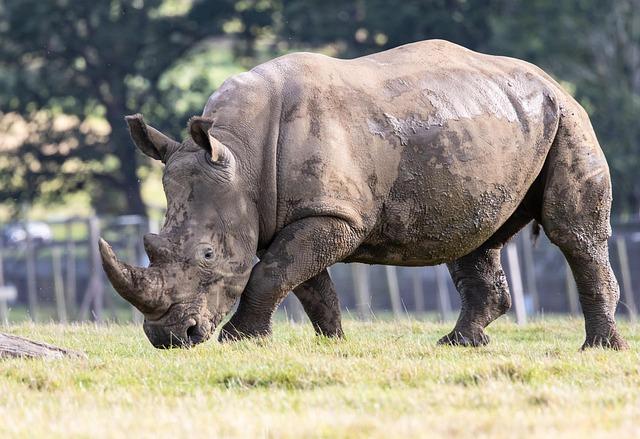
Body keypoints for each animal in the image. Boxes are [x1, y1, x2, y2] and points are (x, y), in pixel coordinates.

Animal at [100, 39, 628, 350]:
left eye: (208, 254)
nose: (169, 338)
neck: (239, 154)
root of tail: (552, 80)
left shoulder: (335, 216)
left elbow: (273, 274)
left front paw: (238, 341)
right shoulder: (300, 212)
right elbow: (303, 281)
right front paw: (335, 344)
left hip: (569, 119)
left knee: (572, 234)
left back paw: (598, 349)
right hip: (494, 126)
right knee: (475, 239)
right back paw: (457, 344)